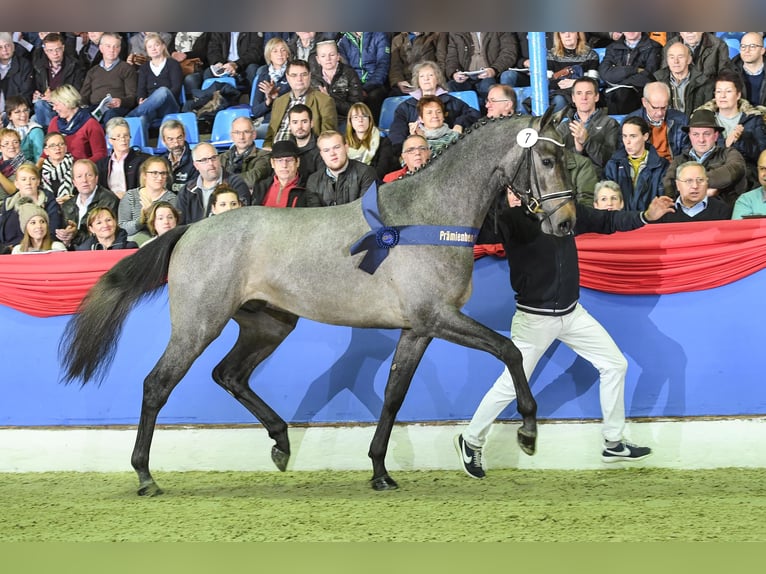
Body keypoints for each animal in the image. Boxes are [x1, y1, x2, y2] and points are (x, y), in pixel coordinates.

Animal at [59, 108, 576, 495]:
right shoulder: (438, 317)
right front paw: (529, 432)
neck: (429, 215)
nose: (567, 221)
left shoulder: (418, 329)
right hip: (199, 324)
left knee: (229, 374)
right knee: (158, 384)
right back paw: (145, 476)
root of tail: (189, 228)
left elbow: (394, 396)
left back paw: (281, 444)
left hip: (269, 325)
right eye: (549, 159)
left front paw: (380, 472)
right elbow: (509, 350)